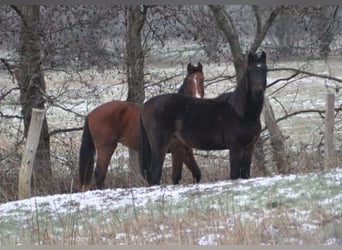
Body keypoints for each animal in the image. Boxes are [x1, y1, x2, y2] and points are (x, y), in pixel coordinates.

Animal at [139, 52, 268, 186]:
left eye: (265, 70)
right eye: (250, 71)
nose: (258, 91)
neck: (241, 113)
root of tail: (145, 105)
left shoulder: (249, 148)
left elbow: (246, 174)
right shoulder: (235, 147)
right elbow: (234, 175)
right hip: (160, 147)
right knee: (155, 174)